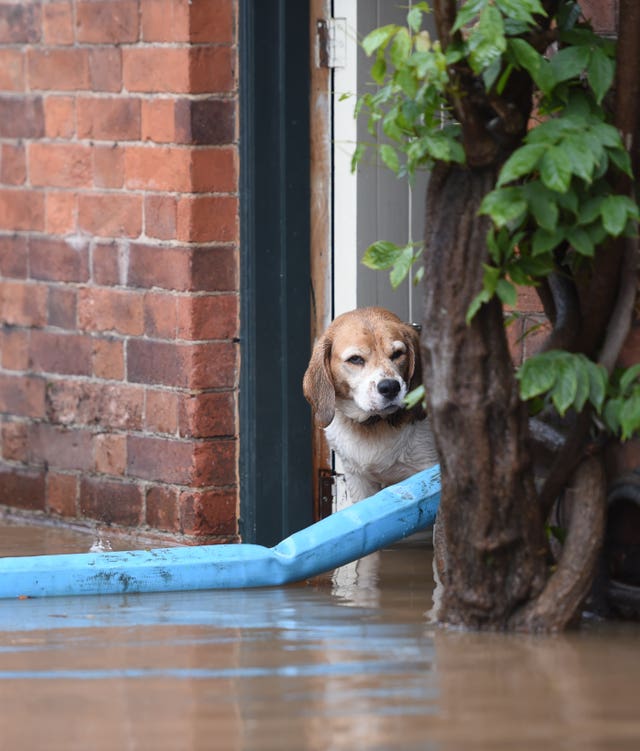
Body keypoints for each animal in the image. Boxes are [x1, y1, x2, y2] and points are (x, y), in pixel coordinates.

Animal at [302, 308, 438, 502]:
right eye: (355, 359)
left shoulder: (427, 468)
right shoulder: (358, 480)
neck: (373, 425)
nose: (391, 387)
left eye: (397, 354)